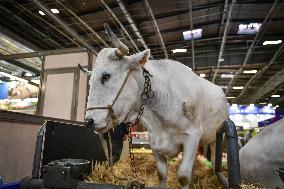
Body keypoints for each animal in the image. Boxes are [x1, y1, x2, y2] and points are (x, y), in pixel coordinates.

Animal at [84, 25, 229, 188]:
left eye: (106, 76)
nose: (89, 121)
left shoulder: (192, 136)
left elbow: (184, 176)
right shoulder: (154, 142)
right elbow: (162, 174)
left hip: (217, 137)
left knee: (215, 158)